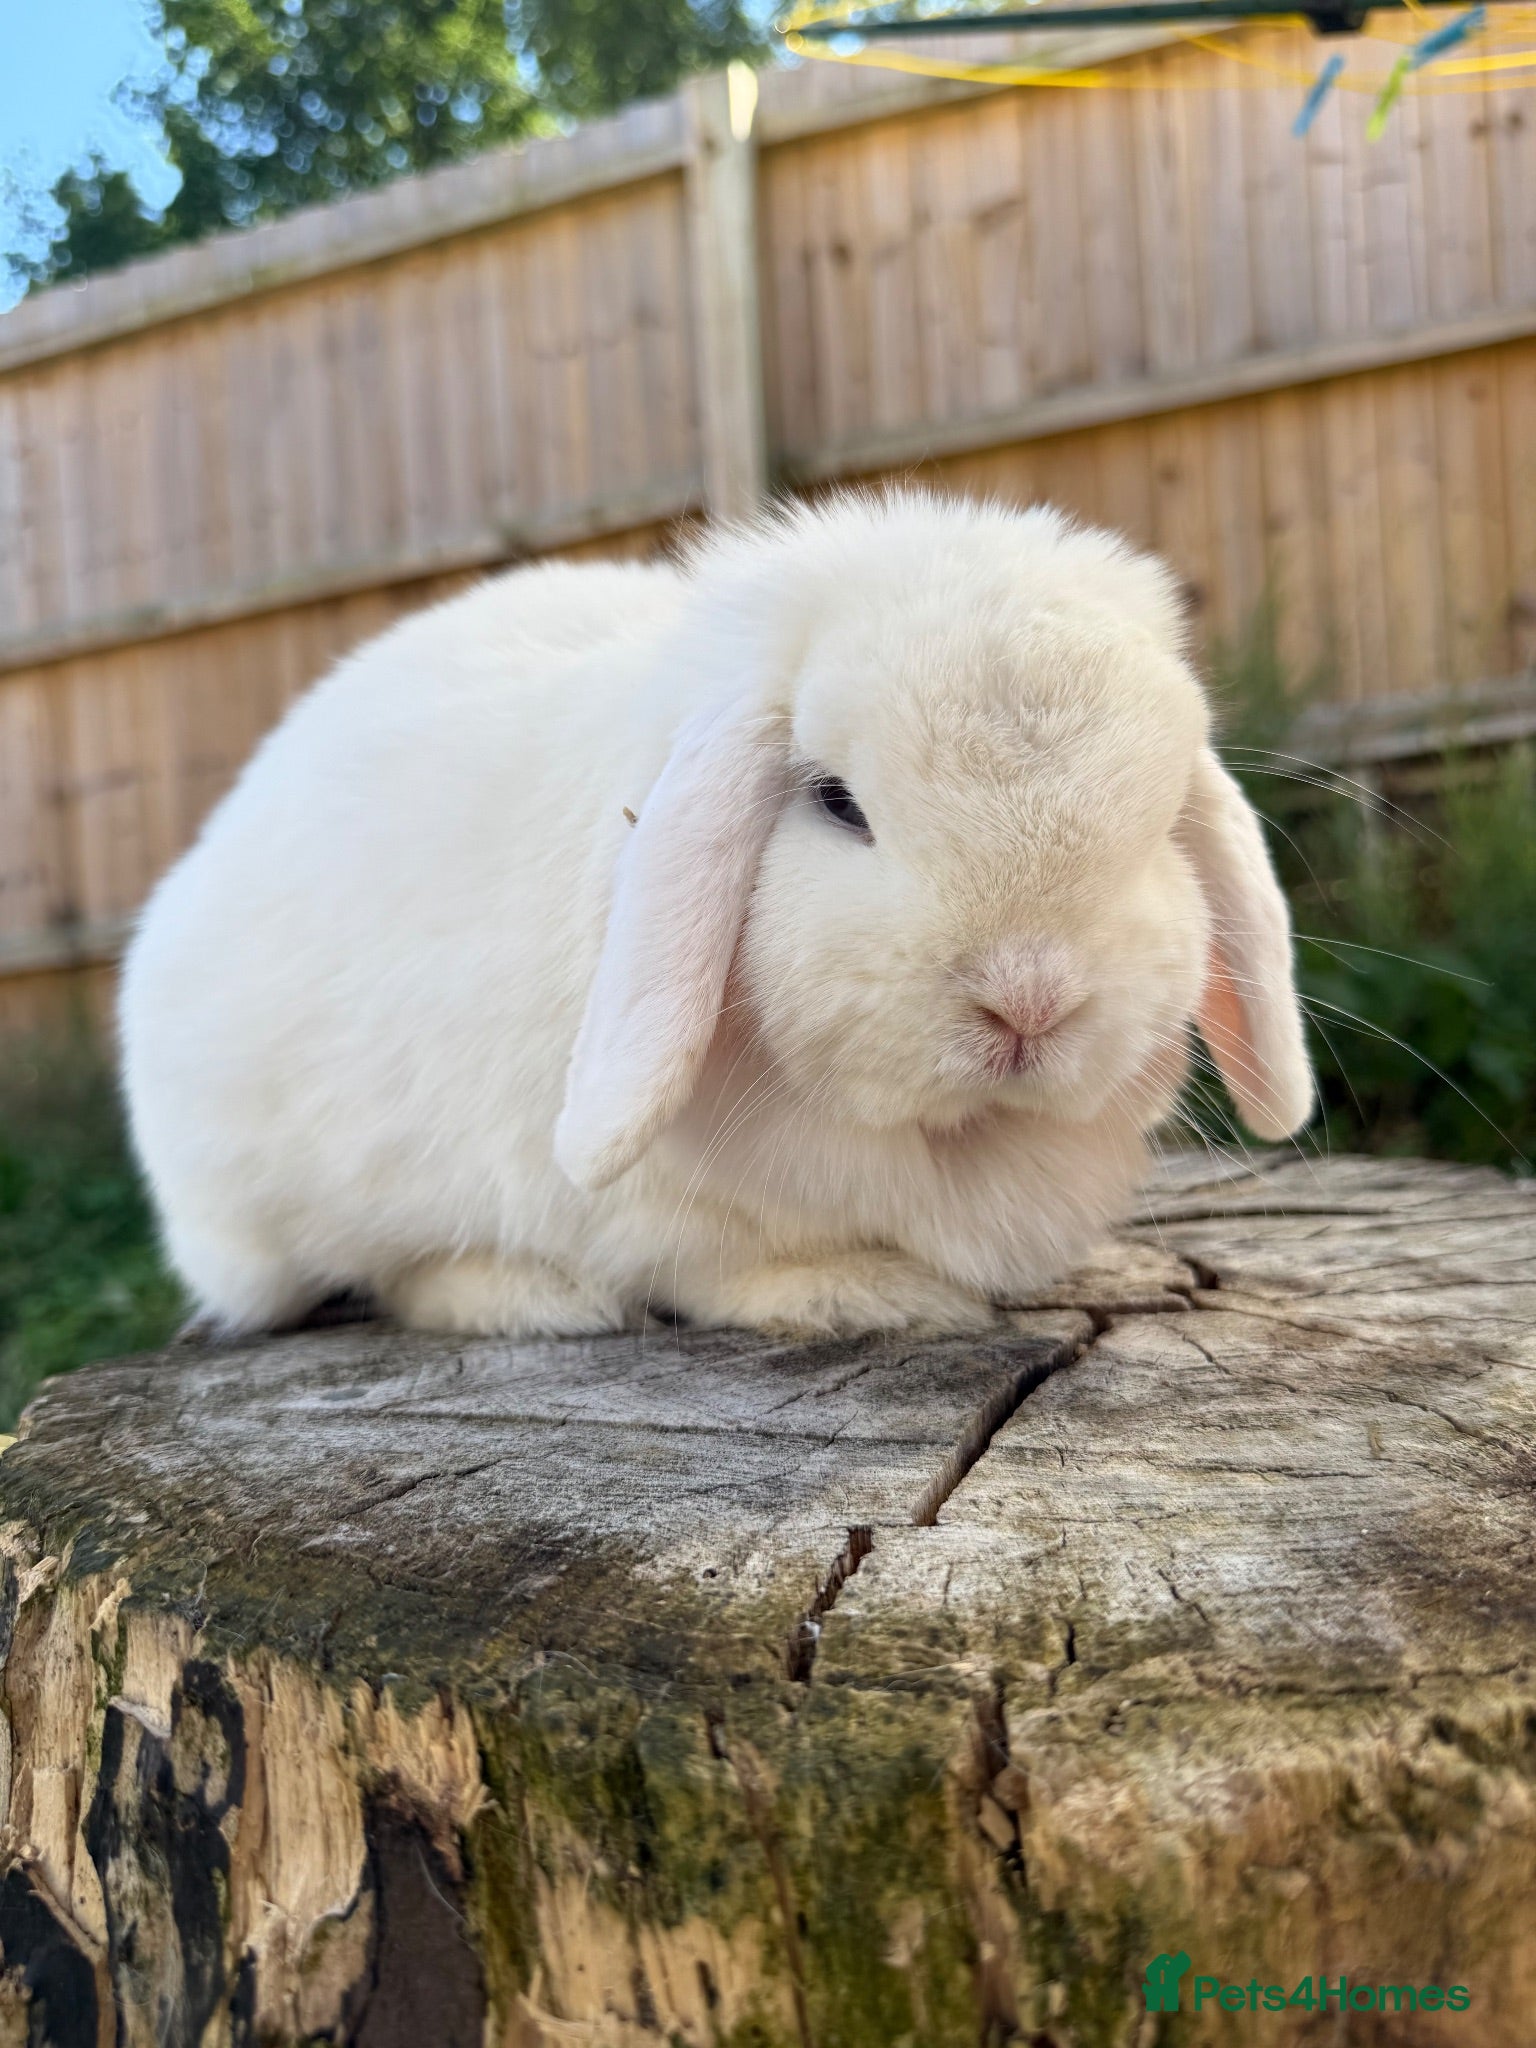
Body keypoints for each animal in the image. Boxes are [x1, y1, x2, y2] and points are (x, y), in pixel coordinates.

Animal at [120, 491, 1312, 1343]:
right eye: (838, 803)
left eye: (1159, 829)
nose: (1029, 999)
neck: (953, 1140)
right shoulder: (648, 1213)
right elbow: (718, 1271)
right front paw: (867, 1294)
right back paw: (536, 1299)